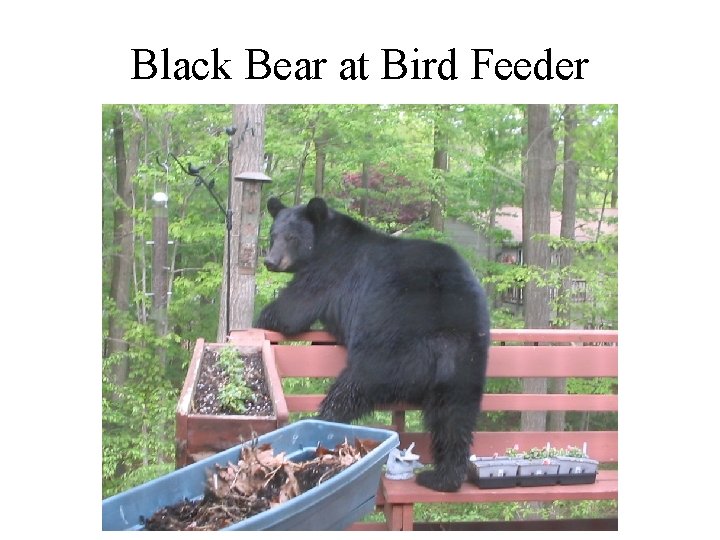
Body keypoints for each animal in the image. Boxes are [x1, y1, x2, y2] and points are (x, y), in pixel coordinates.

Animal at [256, 197, 490, 492]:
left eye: (292, 237)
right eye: (273, 235)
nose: (271, 261)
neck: (326, 240)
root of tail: (442, 342)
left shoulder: (328, 271)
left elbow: (292, 309)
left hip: (386, 353)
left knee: (346, 393)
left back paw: (325, 432)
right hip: (466, 364)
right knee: (455, 418)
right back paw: (442, 477)